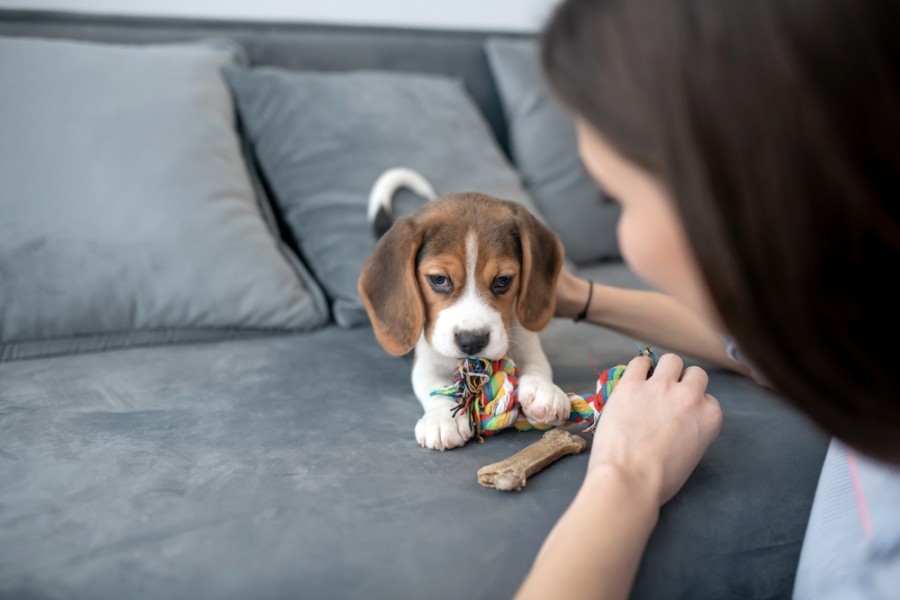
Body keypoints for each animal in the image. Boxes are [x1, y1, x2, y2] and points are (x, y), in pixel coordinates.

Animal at [356, 169, 568, 450]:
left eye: (503, 281)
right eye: (438, 279)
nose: (472, 341)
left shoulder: (525, 339)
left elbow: (538, 365)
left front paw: (544, 390)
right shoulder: (426, 359)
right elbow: (432, 386)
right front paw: (441, 418)